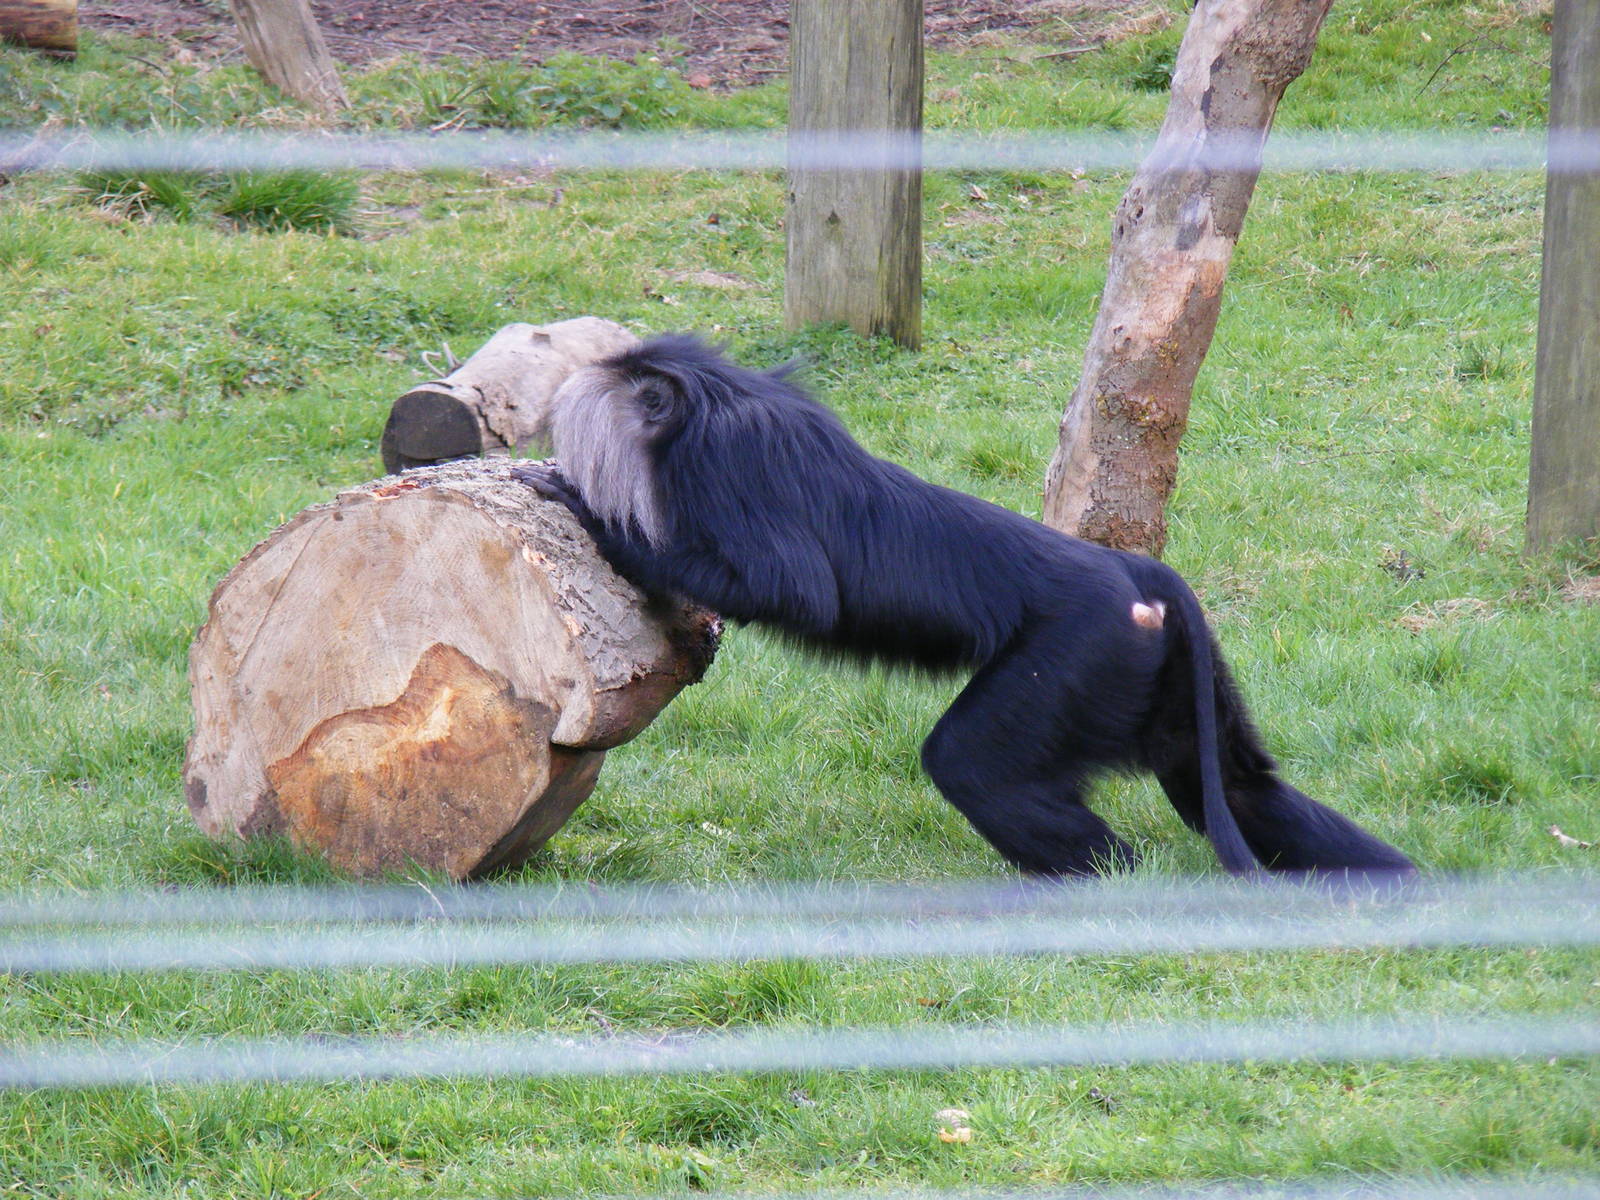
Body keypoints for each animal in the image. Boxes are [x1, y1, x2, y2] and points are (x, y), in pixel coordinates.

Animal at [514, 335, 1416, 880]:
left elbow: (794, 589)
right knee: (1232, 786)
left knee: (974, 766)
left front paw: (590, 514)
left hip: (1080, 655)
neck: (709, 403)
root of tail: (1136, 578)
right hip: (1155, 673)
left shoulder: (722, 462)